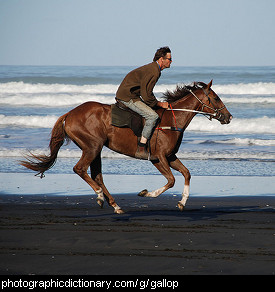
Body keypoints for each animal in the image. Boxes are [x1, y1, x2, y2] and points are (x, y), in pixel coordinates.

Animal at [20, 81, 234, 213]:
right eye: (216, 98)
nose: (229, 117)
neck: (172, 120)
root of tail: (69, 114)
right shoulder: (158, 158)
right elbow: (171, 180)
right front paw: (146, 193)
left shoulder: (170, 156)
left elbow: (187, 173)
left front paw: (182, 202)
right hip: (92, 147)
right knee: (80, 169)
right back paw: (99, 196)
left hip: (96, 149)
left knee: (97, 175)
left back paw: (115, 205)